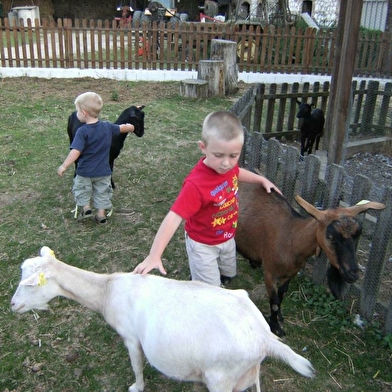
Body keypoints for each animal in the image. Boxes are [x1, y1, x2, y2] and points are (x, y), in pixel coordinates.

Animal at [10, 248, 314, 392]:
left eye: (29, 285)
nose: (13, 305)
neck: (107, 291)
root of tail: (264, 337)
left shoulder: (131, 336)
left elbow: (136, 365)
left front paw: (136, 387)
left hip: (222, 379)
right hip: (247, 373)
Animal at [236, 184, 386, 336]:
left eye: (358, 236)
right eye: (330, 237)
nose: (353, 274)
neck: (291, 237)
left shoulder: (290, 274)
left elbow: (281, 296)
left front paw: (280, 318)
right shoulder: (269, 274)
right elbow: (274, 303)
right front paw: (276, 328)